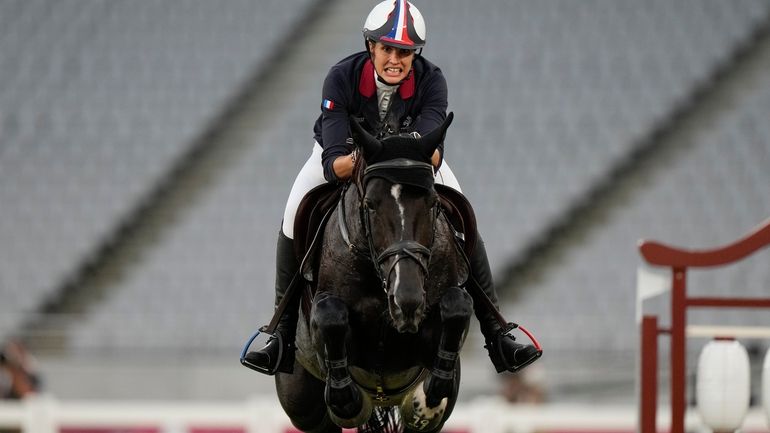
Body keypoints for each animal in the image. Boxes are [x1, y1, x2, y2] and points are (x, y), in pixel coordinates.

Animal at [274, 113, 468, 430]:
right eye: (370, 205)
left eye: (432, 202)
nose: (407, 302)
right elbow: (330, 316)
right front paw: (347, 398)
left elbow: (458, 306)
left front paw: (431, 393)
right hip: (302, 403)